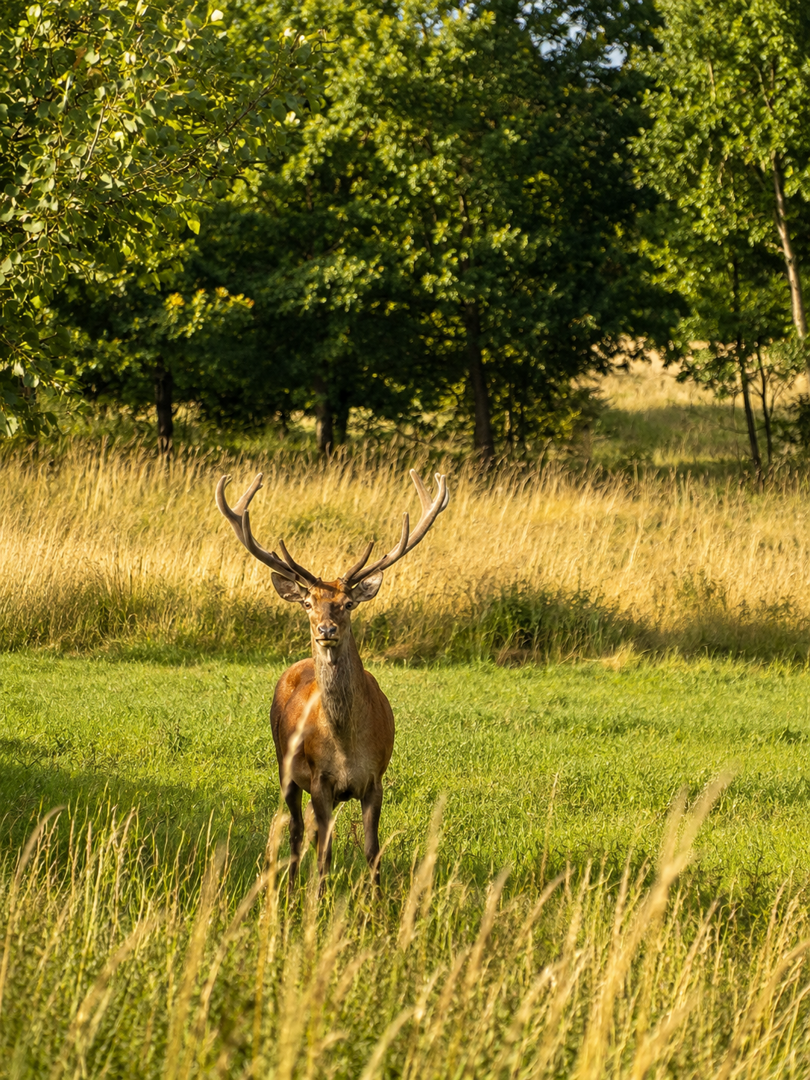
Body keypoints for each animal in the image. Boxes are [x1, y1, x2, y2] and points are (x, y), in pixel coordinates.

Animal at [215, 468, 449, 888]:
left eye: (348, 603)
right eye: (309, 602)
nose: (326, 629)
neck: (345, 747)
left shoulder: (375, 780)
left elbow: (372, 851)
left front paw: (376, 901)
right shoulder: (320, 781)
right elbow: (323, 854)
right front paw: (317, 898)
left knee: (308, 829)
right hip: (285, 768)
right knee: (296, 829)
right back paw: (292, 886)